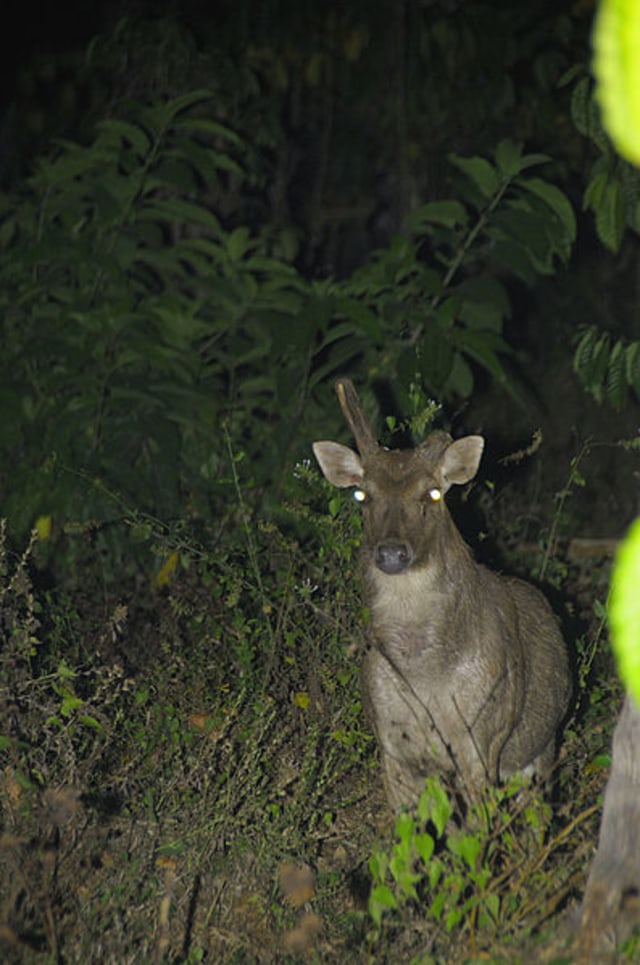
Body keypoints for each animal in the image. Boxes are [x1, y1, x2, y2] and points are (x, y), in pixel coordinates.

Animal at [312, 380, 572, 808]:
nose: (391, 552)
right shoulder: (391, 742)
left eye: (433, 493)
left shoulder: (481, 736)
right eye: (361, 495)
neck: (426, 676)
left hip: (540, 750)